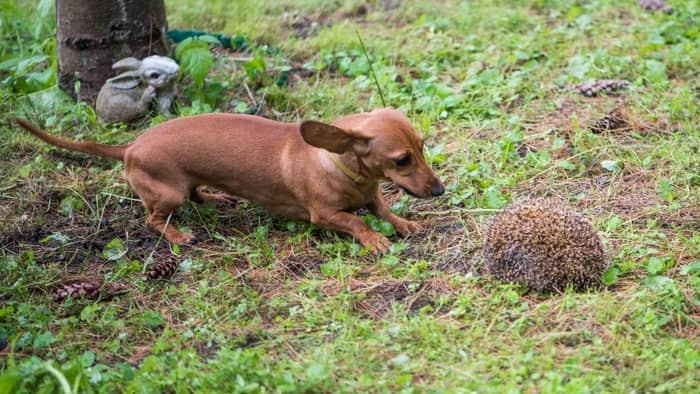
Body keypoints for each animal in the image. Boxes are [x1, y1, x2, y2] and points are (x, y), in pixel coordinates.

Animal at [15, 109, 442, 254]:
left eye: (421, 147)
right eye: (401, 160)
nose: (439, 190)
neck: (339, 165)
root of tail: (131, 145)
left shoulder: (372, 197)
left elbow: (383, 209)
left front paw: (404, 224)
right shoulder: (325, 216)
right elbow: (355, 220)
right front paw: (374, 240)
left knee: (196, 195)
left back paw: (215, 199)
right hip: (167, 194)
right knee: (154, 219)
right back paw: (178, 235)